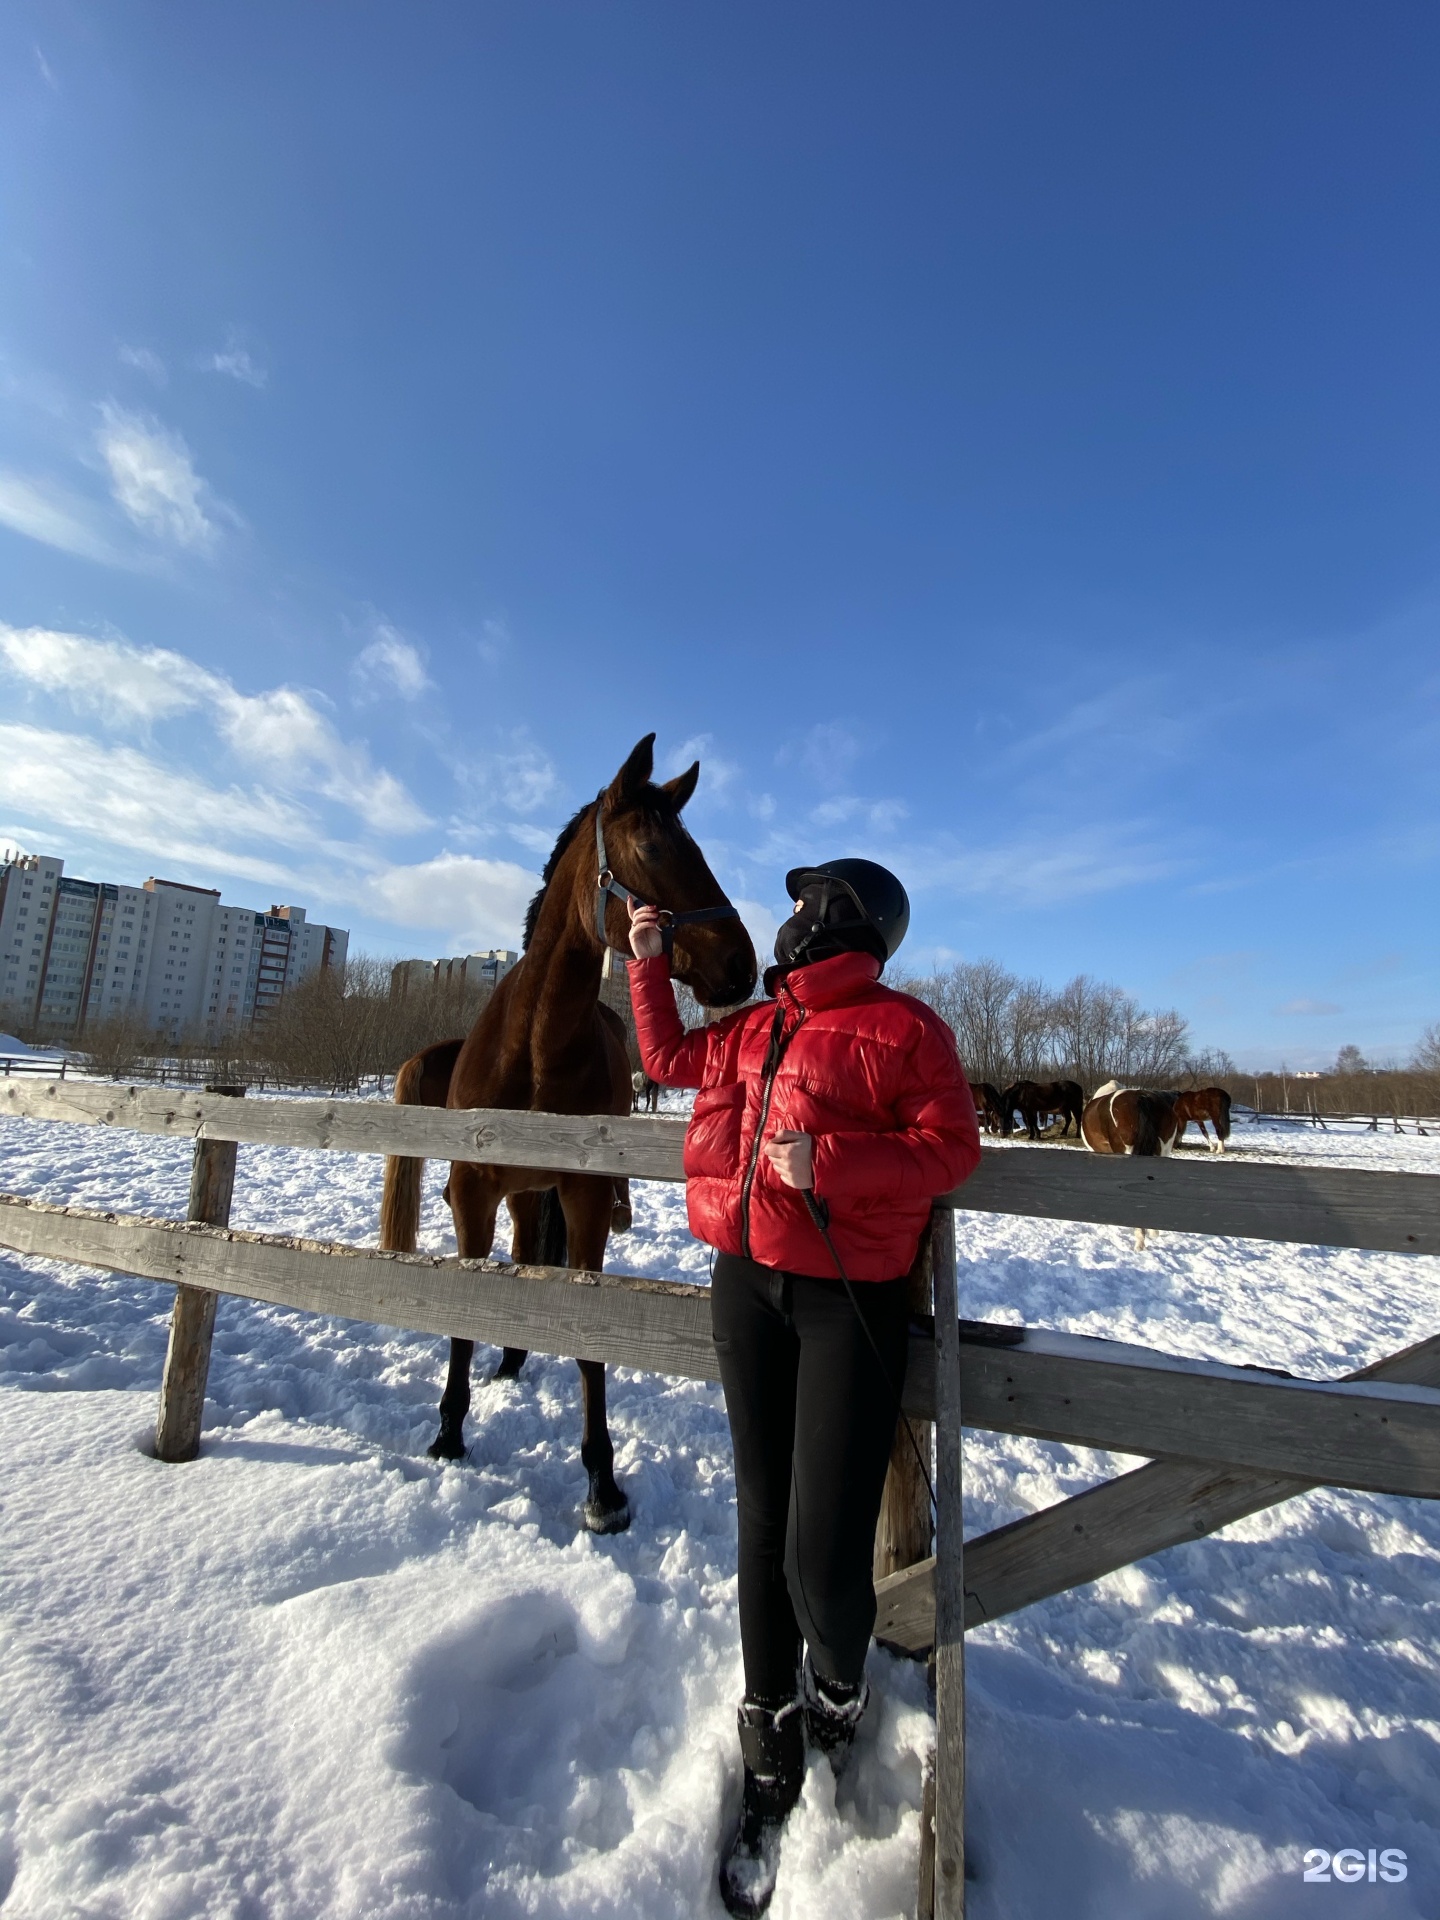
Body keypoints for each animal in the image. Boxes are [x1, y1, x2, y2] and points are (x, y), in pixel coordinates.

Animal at [384, 733, 768, 1528]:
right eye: (653, 847)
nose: (741, 962)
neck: (535, 1048)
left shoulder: (585, 1197)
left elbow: (590, 1333)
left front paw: (601, 1481)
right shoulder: (472, 1189)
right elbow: (465, 1310)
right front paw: (449, 1432)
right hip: (518, 1191)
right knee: (525, 1248)